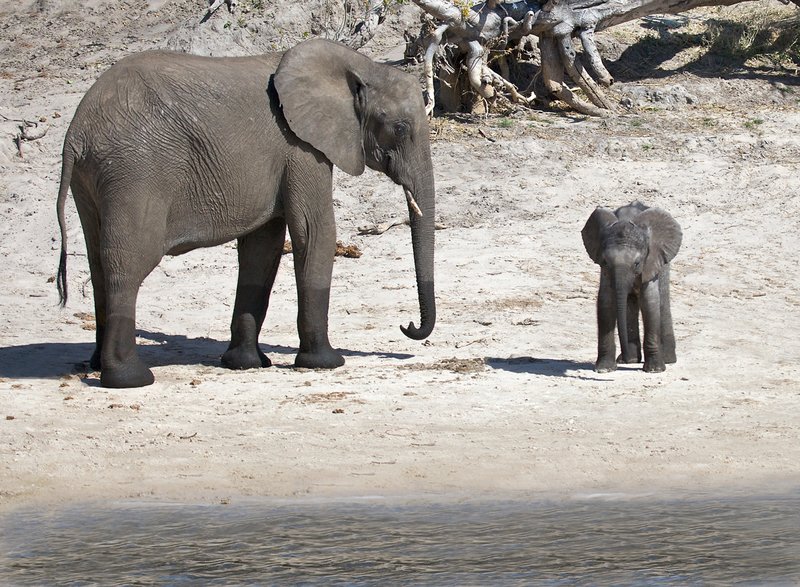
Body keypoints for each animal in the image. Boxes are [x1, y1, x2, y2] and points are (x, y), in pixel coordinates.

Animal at [55, 38, 436, 388]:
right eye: (400, 128)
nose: (407, 326)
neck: (358, 64)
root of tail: (76, 133)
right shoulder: (301, 147)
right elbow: (315, 232)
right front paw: (326, 364)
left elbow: (262, 249)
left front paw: (246, 364)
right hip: (134, 172)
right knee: (128, 264)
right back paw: (129, 379)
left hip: (95, 179)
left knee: (98, 262)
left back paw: (95, 365)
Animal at [581, 201, 682, 373]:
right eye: (605, 261)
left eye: (637, 263)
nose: (625, 357)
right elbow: (605, 302)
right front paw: (604, 369)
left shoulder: (650, 261)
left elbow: (650, 302)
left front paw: (654, 369)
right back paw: (632, 360)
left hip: (664, 264)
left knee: (662, 301)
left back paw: (667, 360)